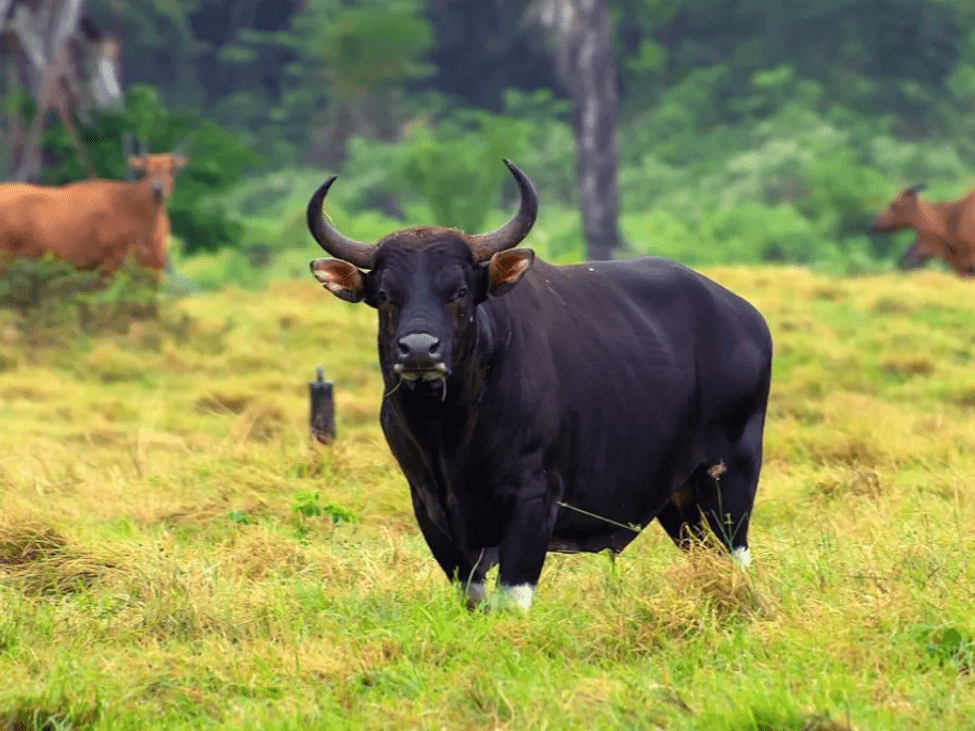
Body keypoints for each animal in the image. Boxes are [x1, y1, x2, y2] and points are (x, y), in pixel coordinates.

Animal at [308, 160, 772, 612]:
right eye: (386, 295)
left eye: (459, 291)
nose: (419, 349)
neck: (449, 431)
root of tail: (747, 318)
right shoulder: (428, 506)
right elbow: (473, 598)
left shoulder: (534, 500)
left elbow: (513, 598)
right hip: (679, 500)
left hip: (729, 478)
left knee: (734, 554)